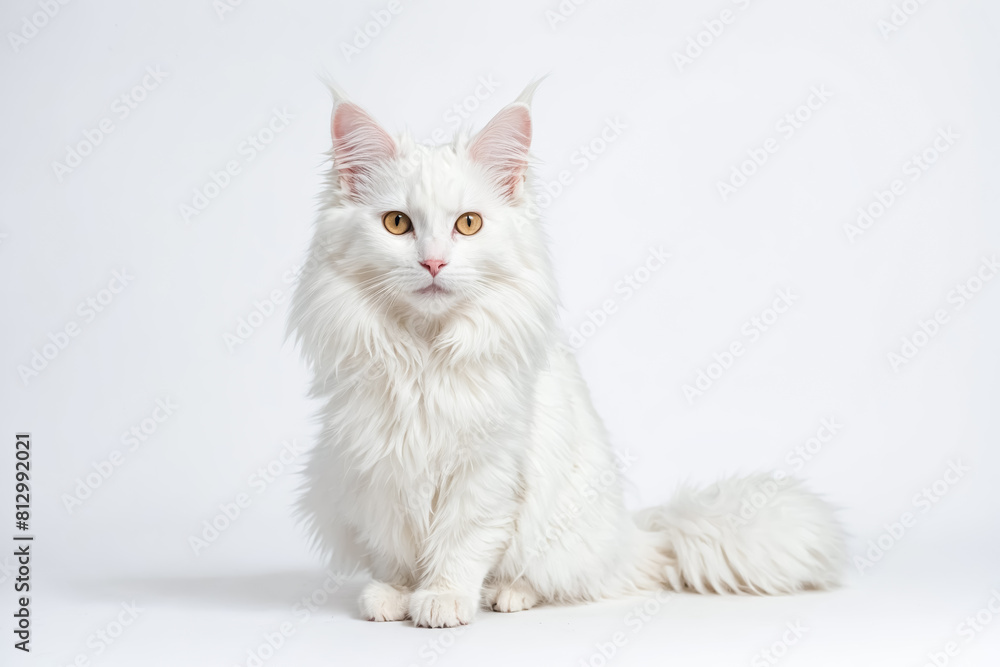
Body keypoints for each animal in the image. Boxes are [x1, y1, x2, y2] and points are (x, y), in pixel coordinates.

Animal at [290, 81, 844, 628]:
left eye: (467, 224)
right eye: (397, 223)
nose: (433, 262)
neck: (426, 353)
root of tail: (635, 537)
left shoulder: (490, 474)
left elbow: (459, 547)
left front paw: (443, 600)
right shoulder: (378, 471)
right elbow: (399, 553)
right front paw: (397, 597)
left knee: (551, 580)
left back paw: (508, 596)